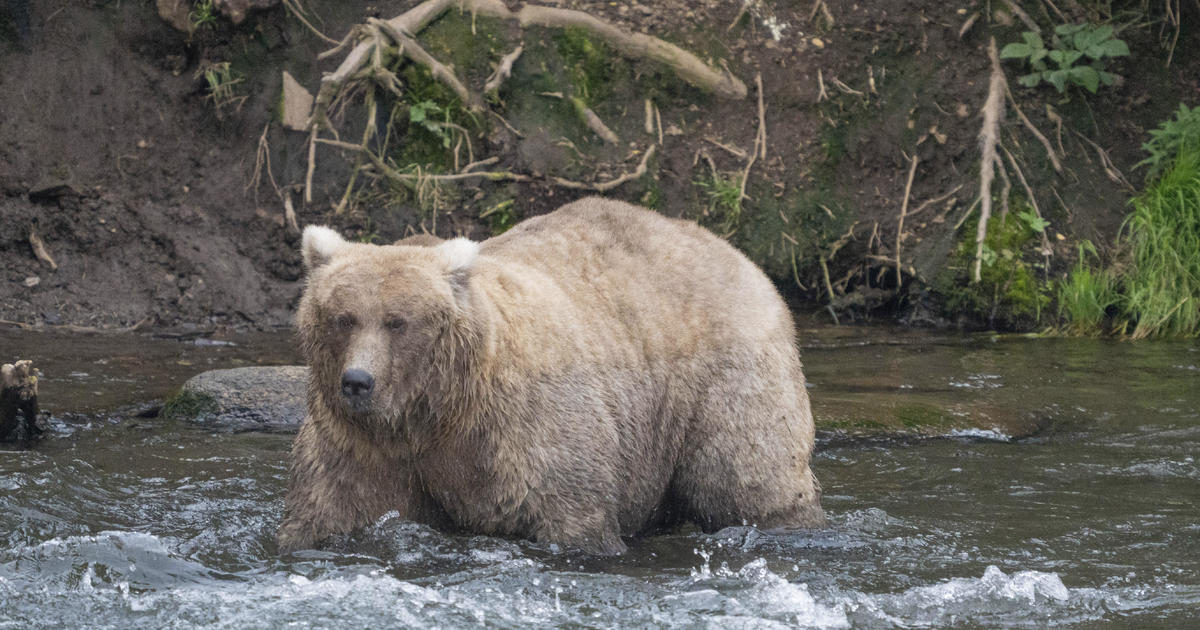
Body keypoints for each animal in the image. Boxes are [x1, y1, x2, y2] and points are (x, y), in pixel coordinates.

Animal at [278, 195, 825, 549]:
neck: (436, 412)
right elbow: (330, 508)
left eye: (397, 321)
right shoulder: (362, 445)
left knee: (745, 476)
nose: (357, 382)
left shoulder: (523, 429)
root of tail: (734, 252)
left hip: (724, 378)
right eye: (343, 317)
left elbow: (570, 512)